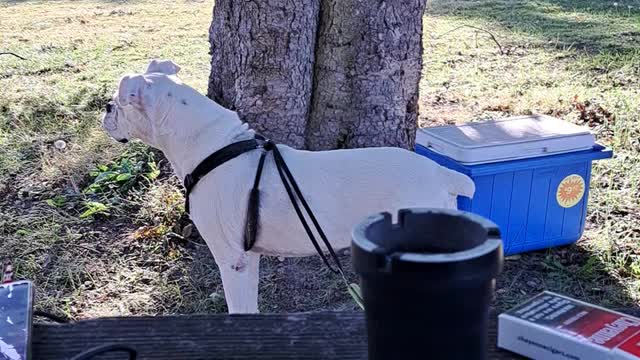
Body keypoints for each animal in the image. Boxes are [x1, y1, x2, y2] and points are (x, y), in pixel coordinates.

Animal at [101, 59, 476, 312]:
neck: (212, 146)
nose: (105, 107)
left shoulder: (233, 262)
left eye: (118, 102)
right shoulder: (248, 260)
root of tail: (443, 174)